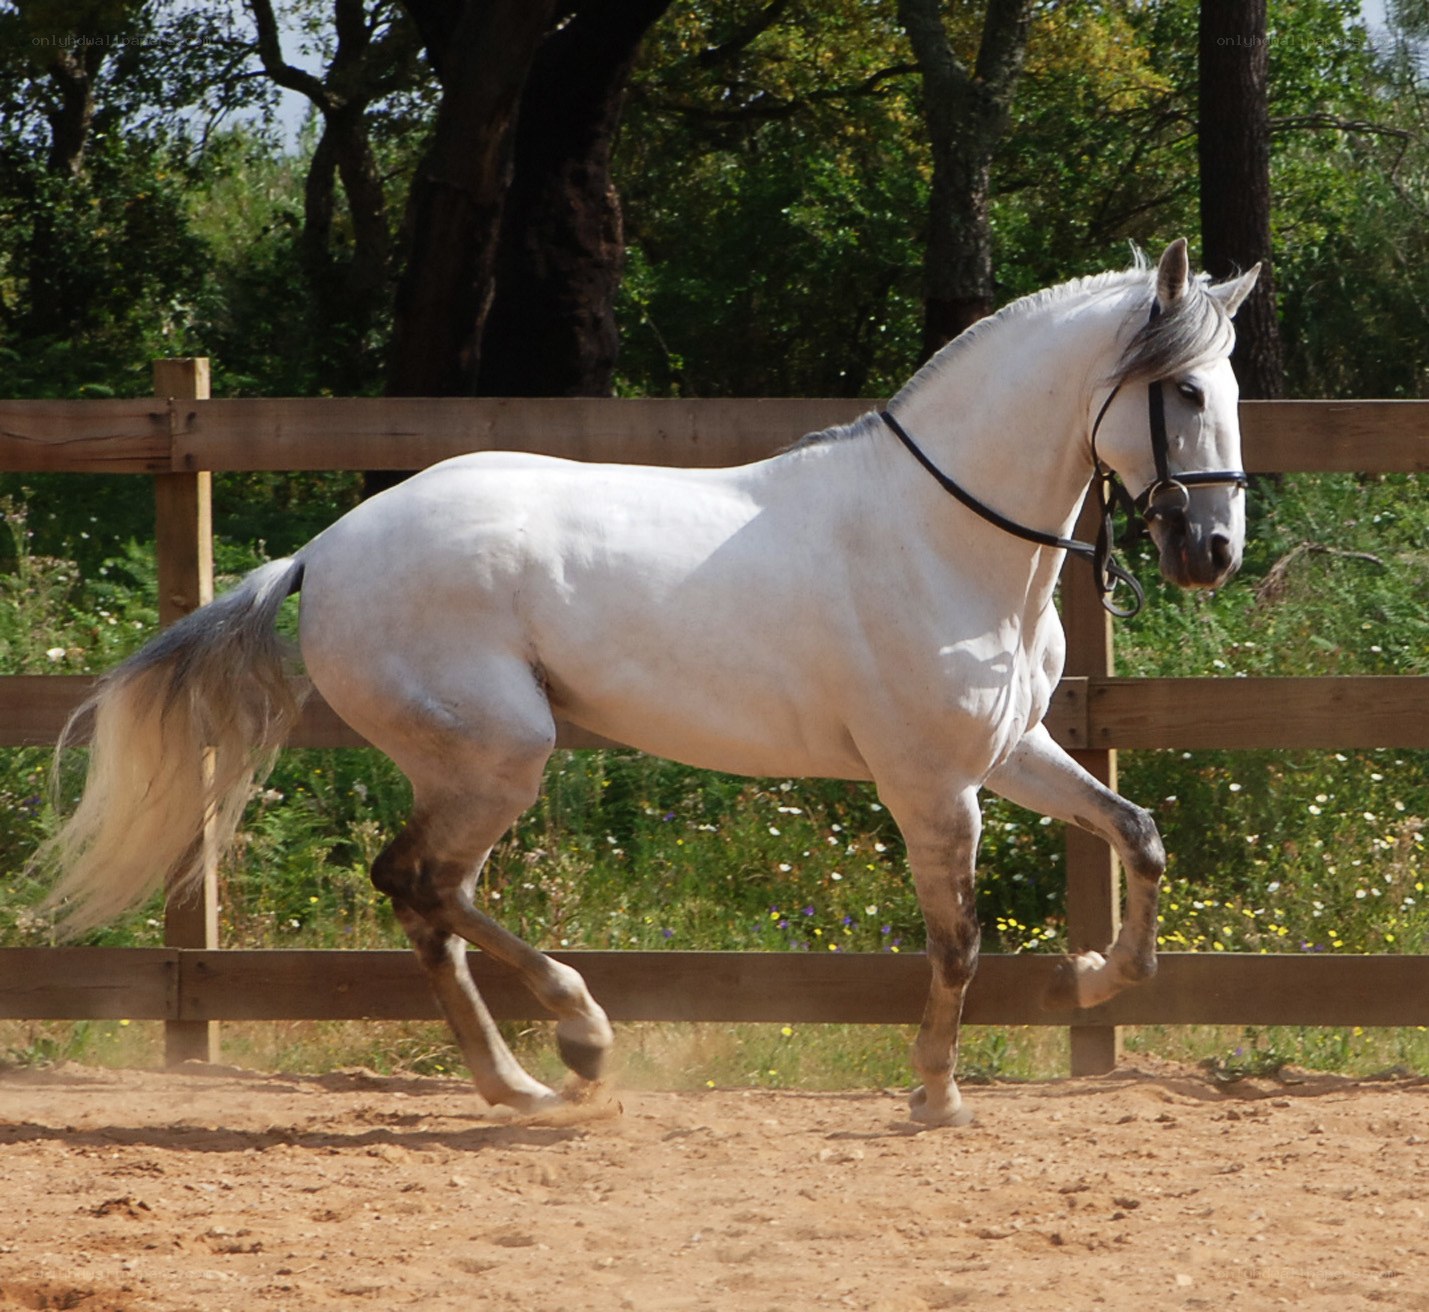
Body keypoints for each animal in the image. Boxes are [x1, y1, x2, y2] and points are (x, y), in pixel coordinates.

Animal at [36, 238, 1259, 1126]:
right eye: (1184, 392)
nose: (1212, 551)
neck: (942, 534)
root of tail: (323, 551)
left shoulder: (1006, 752)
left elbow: (1138, 833)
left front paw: (1085, 980)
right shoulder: (928, 783)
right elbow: (955, 939)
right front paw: (936, 1094)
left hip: (474, 762)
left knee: (425, 898)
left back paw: (521, 1081)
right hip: (500, 754)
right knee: (420, 884)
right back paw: (575, 1040)